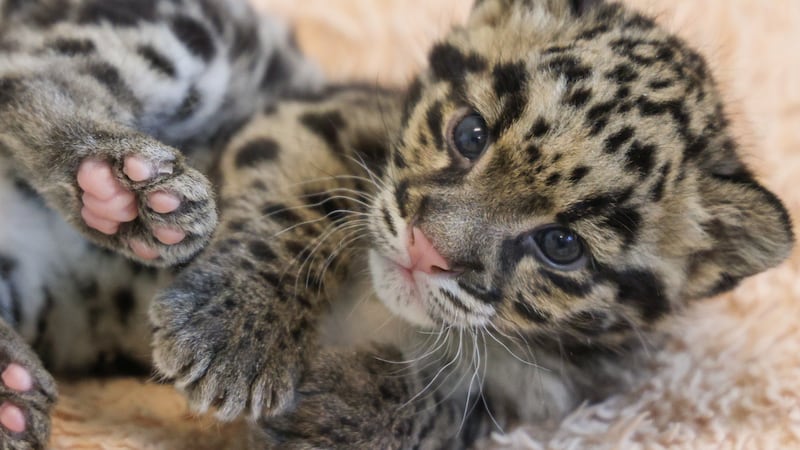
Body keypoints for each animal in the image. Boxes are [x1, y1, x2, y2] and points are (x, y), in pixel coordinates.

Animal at [0, 0, 793, 449]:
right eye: (469, 134)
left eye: (561, 246)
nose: (425, 250)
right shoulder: (316, 112)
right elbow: (304, 204)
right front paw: (237, 334)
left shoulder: (551, 393)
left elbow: (456, 405)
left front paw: (340, 409)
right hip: (194, 29)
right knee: (29, 76)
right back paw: (119, 186)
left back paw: (10, 388)